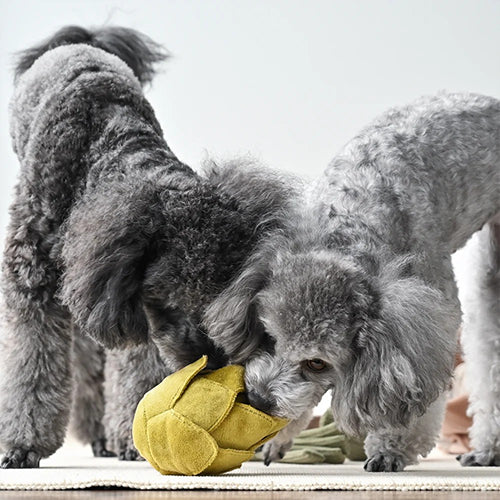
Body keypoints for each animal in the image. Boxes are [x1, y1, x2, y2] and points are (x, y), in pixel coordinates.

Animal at [204, 92, 500, 470]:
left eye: (317, 363)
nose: (258, 399)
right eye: (268, 336)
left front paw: (391, 449)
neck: (353, 219)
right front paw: (277, 439)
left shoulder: (425, 329)